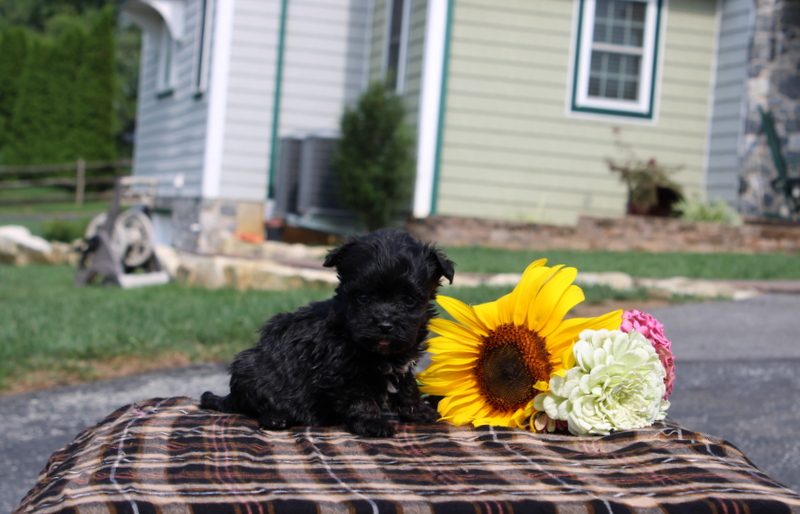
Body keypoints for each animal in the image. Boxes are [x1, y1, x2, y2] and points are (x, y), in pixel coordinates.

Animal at [200, 230, 456, 434]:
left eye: (409, 300)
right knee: (257, 406)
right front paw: (372, 424)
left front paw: (419, 413)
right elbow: (361, 399)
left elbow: (407, 388)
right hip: (250, 368)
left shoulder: (402, 365)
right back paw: (276, 418)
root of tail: (231, 397)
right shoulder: (346, 374)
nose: (384, 324)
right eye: (363, 297)